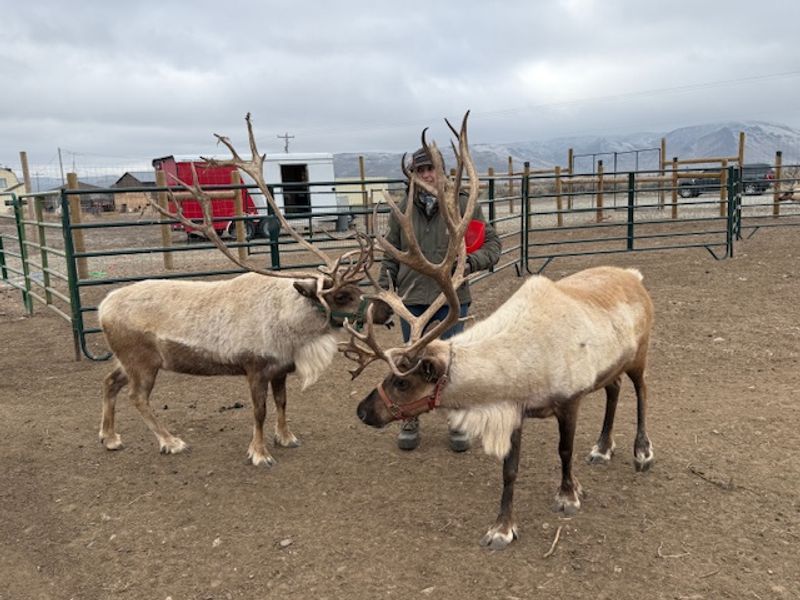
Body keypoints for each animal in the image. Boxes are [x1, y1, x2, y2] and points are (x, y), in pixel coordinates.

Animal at [98, 114, 391, 467]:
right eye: (341, 295)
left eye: (358, 286)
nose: (387, 309)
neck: (292, 324)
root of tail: (101, 308)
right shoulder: (255, 369)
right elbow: (259, 411)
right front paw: (260, 452)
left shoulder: (280, 370)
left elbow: (282, 403)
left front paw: (286, 437)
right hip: (142, 362)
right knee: (137, 397)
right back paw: (170, 441)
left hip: (126, 360)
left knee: (109, 382)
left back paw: (110, 437)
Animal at [342, 112, 655, 549]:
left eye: (402, 382)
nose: (362, 410)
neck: (518, 361)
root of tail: (633, 275)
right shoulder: (514, 409)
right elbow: (509, 470)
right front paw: (503, 527)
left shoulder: (569, 400)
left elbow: (563, 451)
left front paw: (568, 495)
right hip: (611, 366)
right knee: (614, 391)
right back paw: (602, 447)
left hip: (641, 353)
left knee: (641, 391)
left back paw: (642, 452)